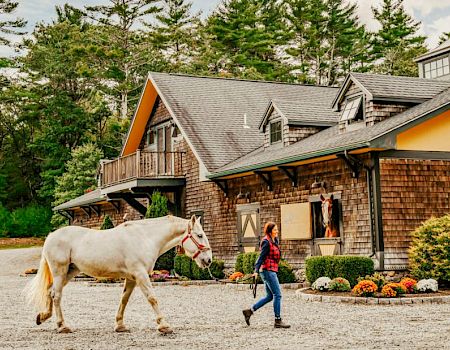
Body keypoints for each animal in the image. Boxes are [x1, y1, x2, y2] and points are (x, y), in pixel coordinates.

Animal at [24, 216, 213, 334]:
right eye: (199, 235)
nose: (208, 260)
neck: (145, 238)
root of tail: (51, 236)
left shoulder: (131, 278)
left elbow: (124, 300)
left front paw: (120, 325)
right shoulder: (141, 275)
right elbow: (152, 298)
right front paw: (164, 325)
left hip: (70, 272)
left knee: (50, 292)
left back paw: (43, 317)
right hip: (60, 272)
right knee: (56, 296)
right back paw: (63, 326)